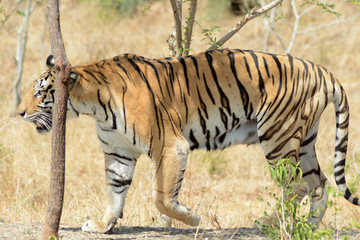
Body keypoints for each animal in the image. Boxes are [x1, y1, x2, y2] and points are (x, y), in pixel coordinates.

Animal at [18, 48, 358, 232]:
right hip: (303, 142)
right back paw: (308, 228)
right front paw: (104, 225)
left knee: (296, 186)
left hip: (278, 137)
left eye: (40, 92)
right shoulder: (118, 153)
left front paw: (192, 219)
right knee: (319, 183)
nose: (19, 112)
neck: (92, 105)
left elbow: (162, 197)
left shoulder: (169, 145)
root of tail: (321, 69)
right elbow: (115, 191)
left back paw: (268, 223)